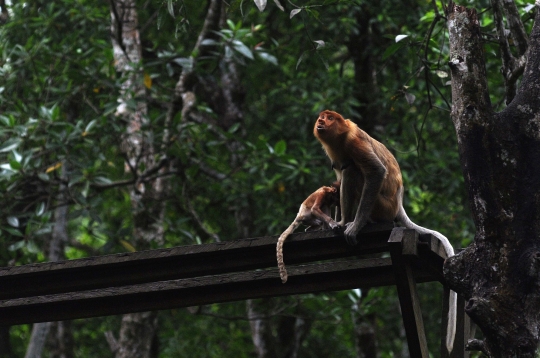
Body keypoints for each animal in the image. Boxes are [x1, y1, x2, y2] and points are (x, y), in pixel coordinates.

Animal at [312, 110, 456, 356]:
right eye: (322, 117)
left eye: (330, 118)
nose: (321, 121)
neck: (339, 137)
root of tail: (398, 204)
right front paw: (336, 222)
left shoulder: (354, 141)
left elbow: (375, 171)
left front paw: (353, 225)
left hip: (382, 206)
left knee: (352, 170)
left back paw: (353, 221)